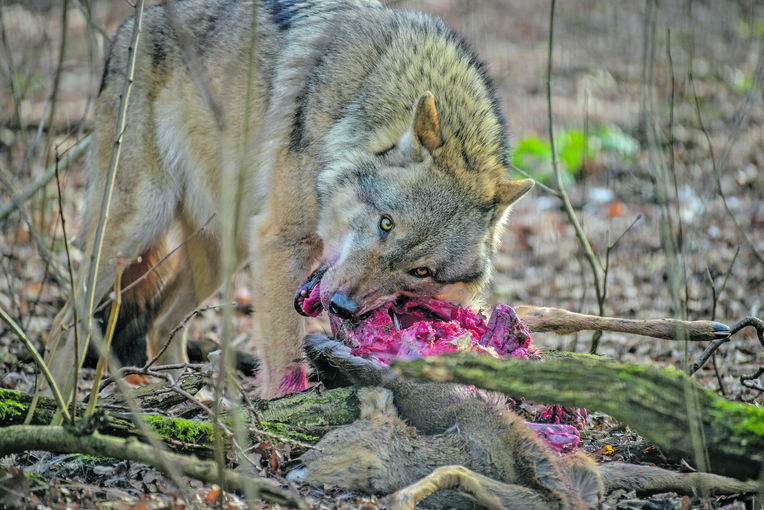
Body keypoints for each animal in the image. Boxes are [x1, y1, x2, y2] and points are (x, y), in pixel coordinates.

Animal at [44, 0, 536, 400]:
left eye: (421, 272)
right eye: (386, 223)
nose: (342, 307)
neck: (360, 105)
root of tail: (131, 23)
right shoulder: (281, 241)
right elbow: (284, 360)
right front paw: (283, 409)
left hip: (225, 255)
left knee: (161, 324)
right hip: (137, 226)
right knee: (64, 324)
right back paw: (54, 409)